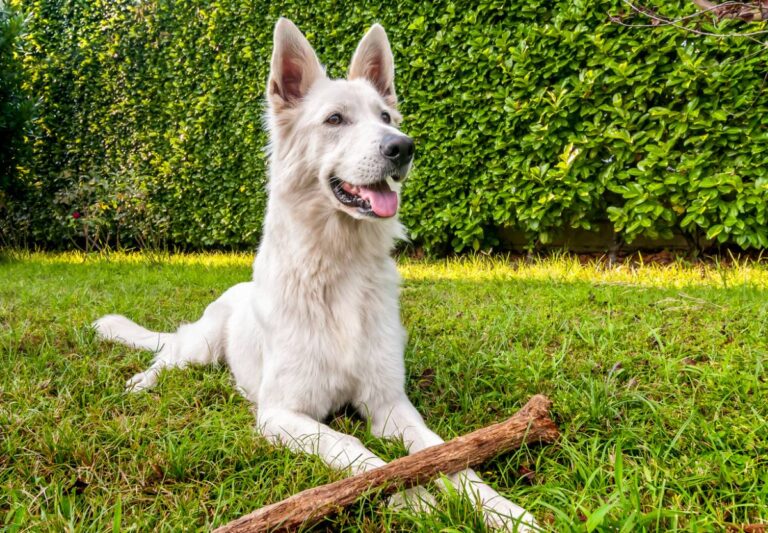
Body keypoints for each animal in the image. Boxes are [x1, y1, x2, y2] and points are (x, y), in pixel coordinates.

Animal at [94, 18, 536, 528]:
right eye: (335, 120)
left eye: (386, 118)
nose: (403, 147)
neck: (337, 268)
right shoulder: (281, 414)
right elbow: (355, 450)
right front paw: (415, 499)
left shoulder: (390, 404)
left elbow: (445, 454)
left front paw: (503, 510)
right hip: (201, 348)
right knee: (168, 354)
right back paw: (142, 382)